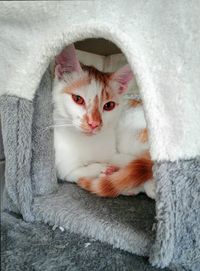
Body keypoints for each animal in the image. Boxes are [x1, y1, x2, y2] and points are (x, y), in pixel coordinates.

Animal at [52, 43, 155, 200]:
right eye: (78, 99)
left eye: (109, 105)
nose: (94, 123)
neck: (87, 142)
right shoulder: (65, 168)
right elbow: (80, 171)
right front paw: (103, 168)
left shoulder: (113, 150)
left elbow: (129, 162)